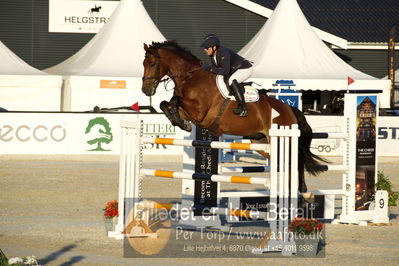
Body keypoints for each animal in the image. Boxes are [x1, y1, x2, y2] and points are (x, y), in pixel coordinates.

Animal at [142, 40, 326, 202]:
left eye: (152, 64)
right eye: (143, 64)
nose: (145, 90)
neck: (190, 78)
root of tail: (289, 109)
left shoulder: (200, 112)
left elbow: (175, 100)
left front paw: (180, 121)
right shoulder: (192, 113)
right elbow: (165, 103)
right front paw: (179, 121)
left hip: (282, 138)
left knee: (298, 161)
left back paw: (304, 193)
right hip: (262, 143)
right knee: (287, 163)